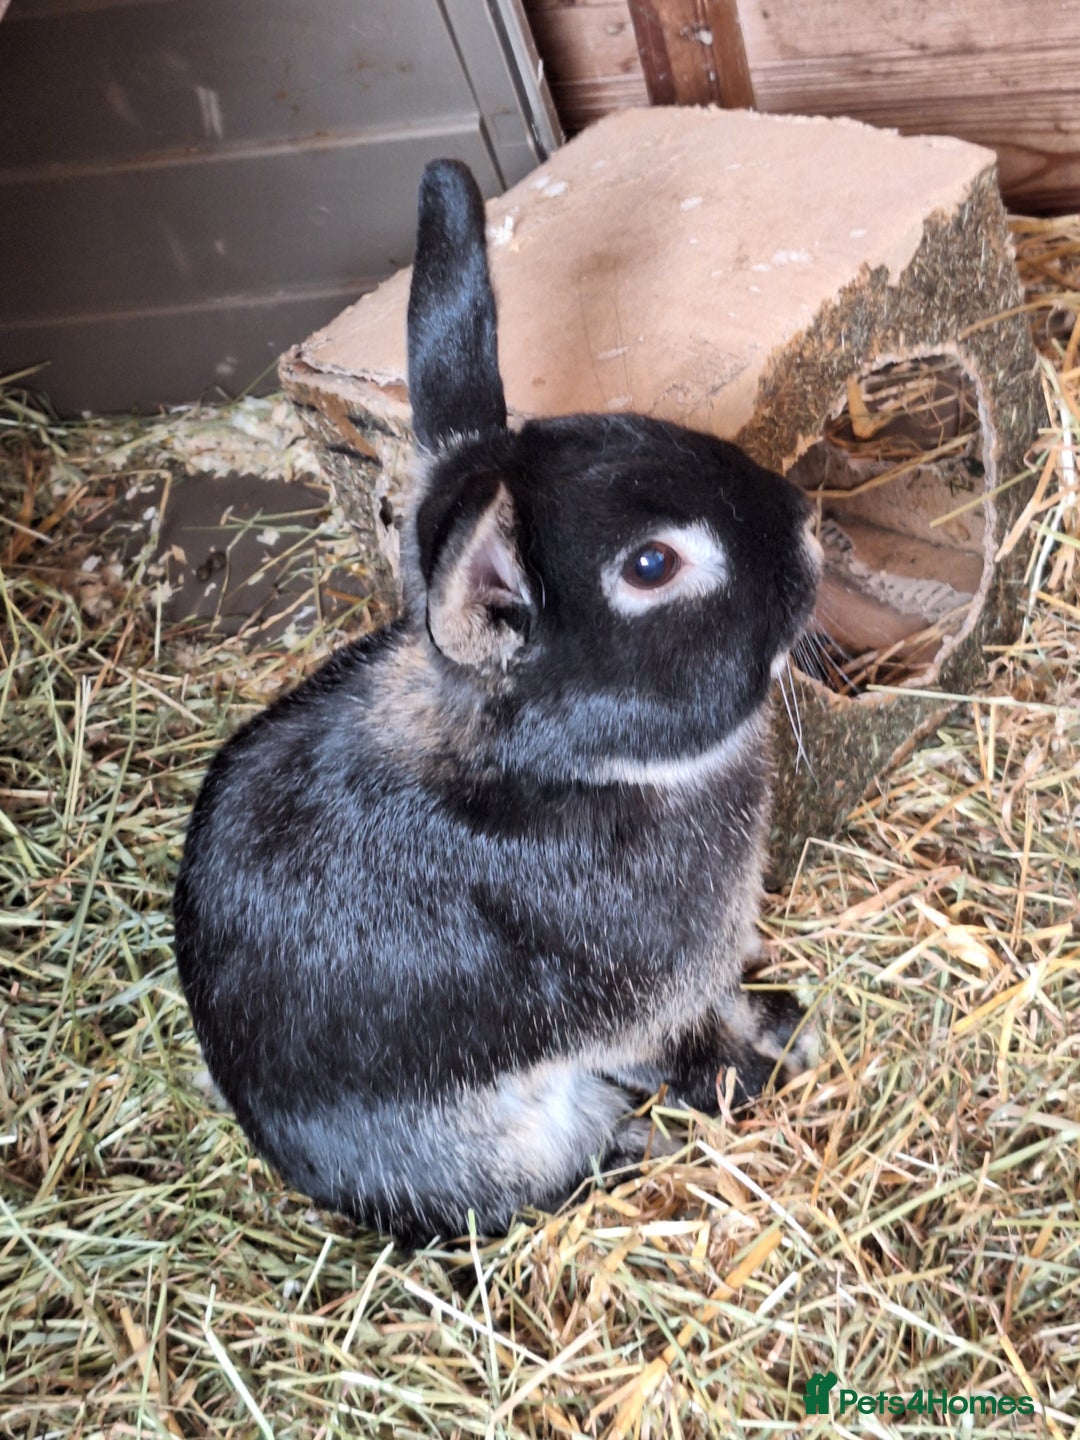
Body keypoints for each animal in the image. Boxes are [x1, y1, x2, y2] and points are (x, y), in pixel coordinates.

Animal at [173, 157, 823, 1248]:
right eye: (651, 565)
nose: (810, 532)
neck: (565, 769)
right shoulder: (642, 1002)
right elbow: (695, 1052)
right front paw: (769, 1065)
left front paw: (783, 1014)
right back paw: (627, 1148)